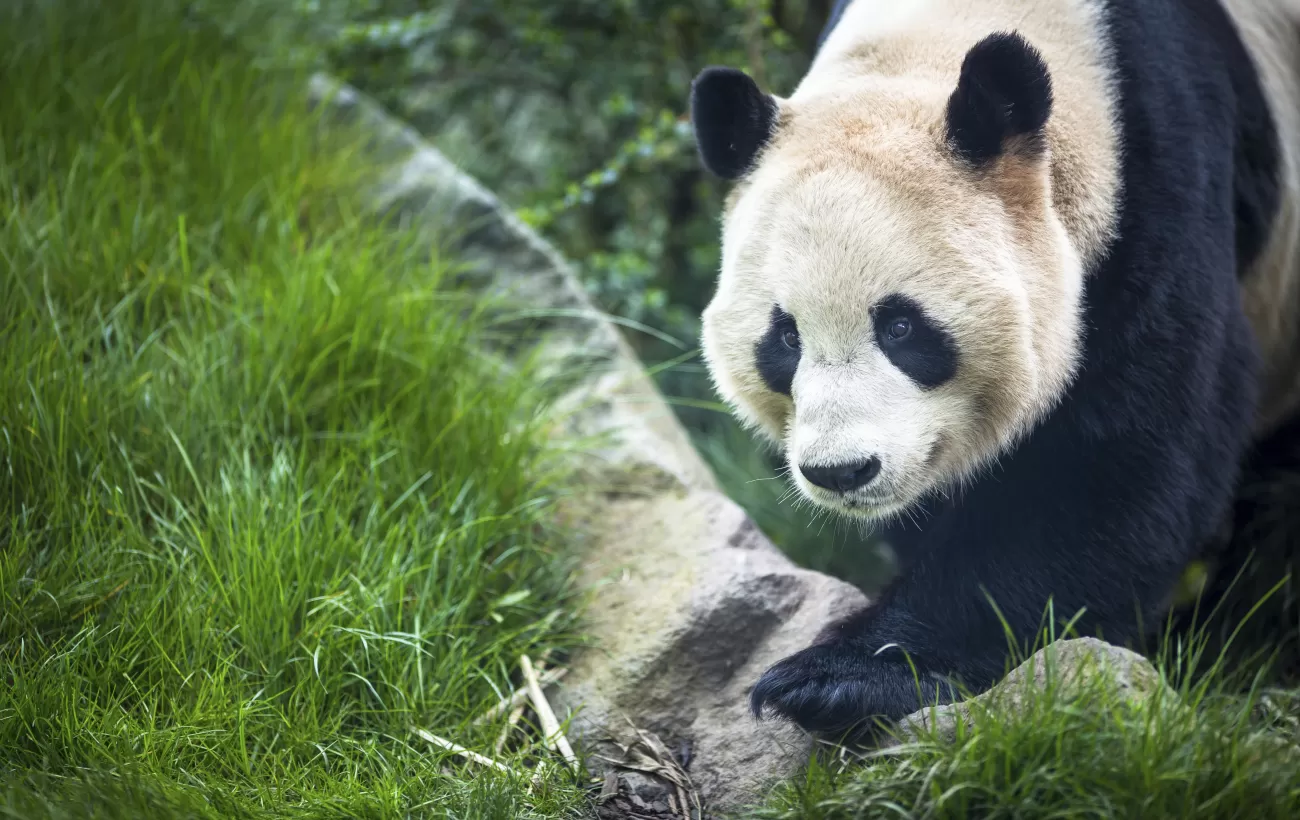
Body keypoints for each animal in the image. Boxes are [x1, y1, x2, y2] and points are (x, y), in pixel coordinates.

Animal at [686, 0, 1300, 738]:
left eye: (901, 328)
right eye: (784, 338)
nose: (842, 472)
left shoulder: (1164, 178)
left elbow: (1111, 463)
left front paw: (841, 678)